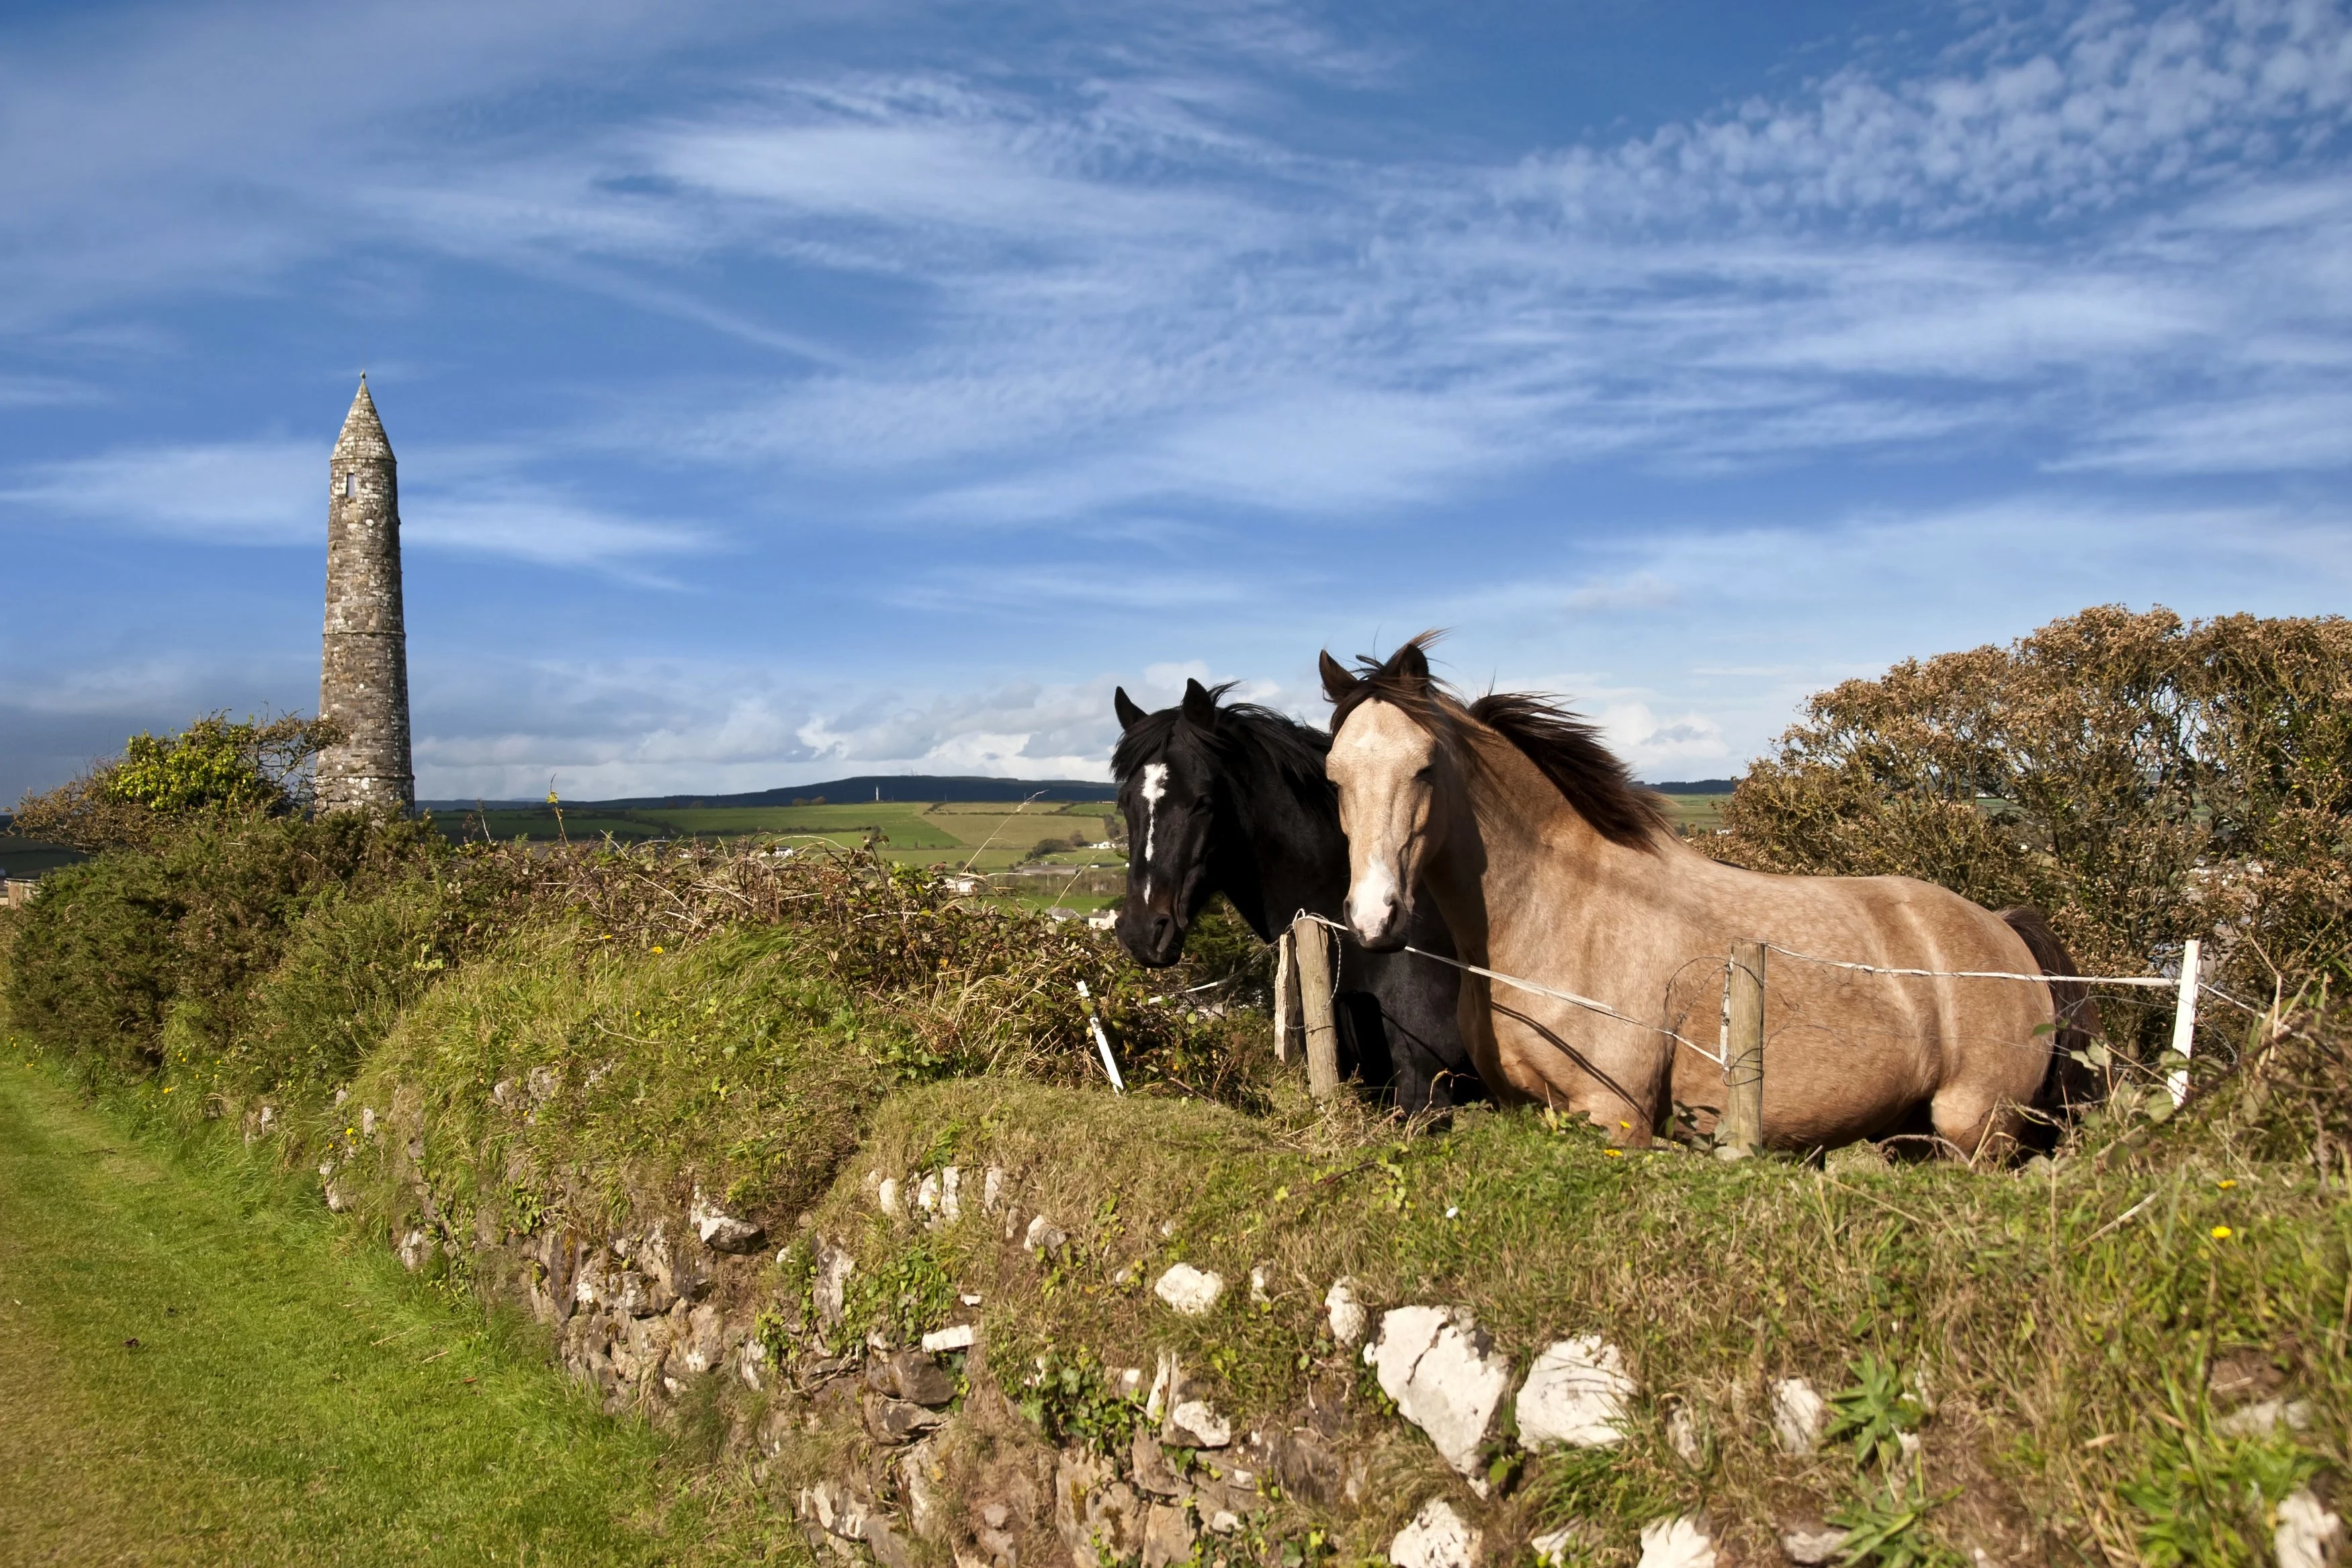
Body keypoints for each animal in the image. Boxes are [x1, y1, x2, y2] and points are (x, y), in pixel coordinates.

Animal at [1326, 639, 2097, 1166]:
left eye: (1425, 768)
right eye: (1334, 775)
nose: (1374, 919)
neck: (1564, 914)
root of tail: (2006, 934)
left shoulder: (1617, 1117)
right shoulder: (1527, 1109)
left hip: (1977, 1133)